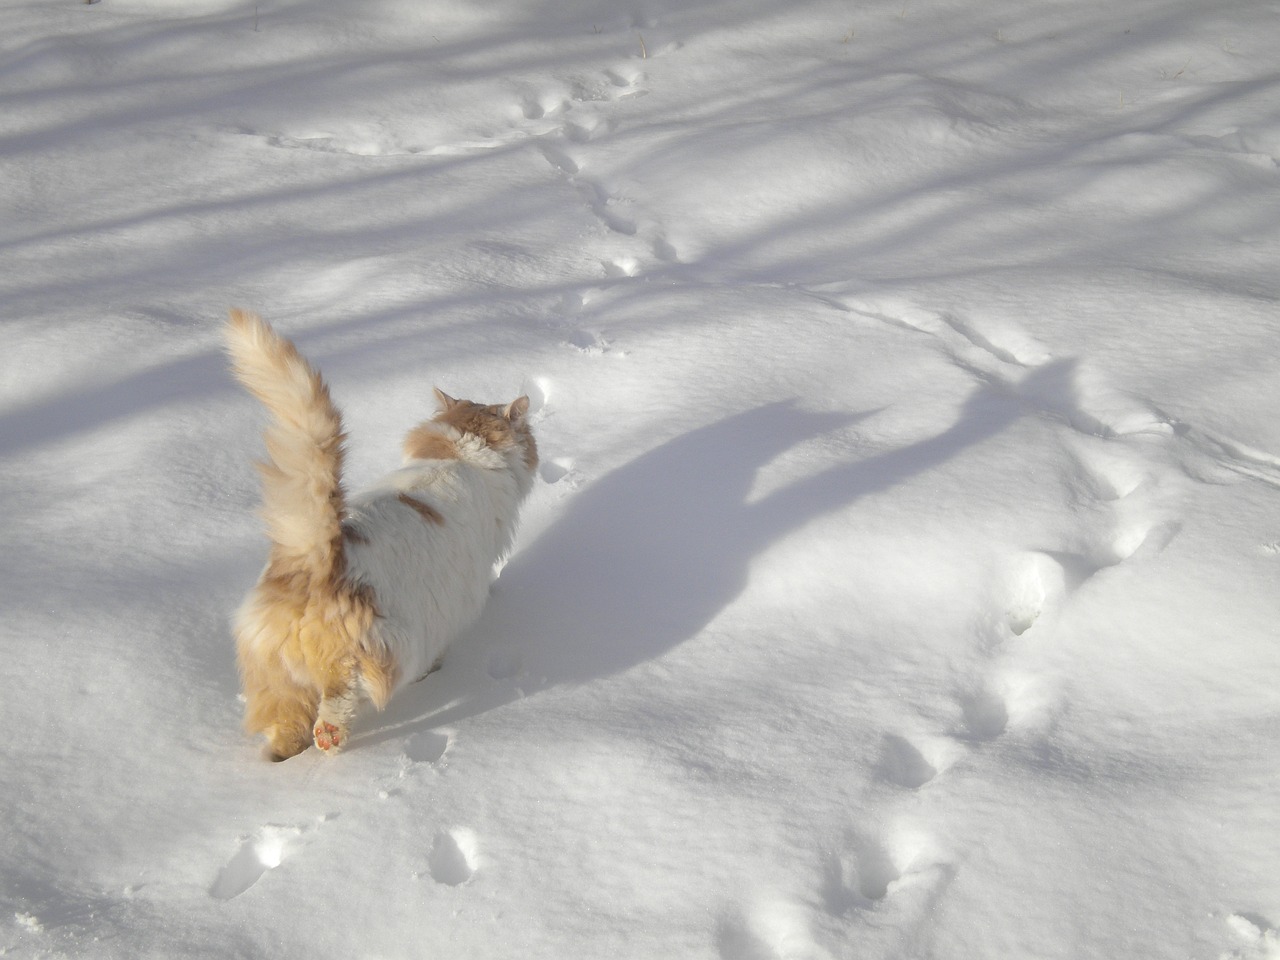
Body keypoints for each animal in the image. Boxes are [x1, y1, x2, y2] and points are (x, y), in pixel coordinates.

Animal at [225, 312, 535, 762]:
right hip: (381, 648)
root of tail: (316, 558)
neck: (460, 455)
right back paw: (330, 737)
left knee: (287, 726)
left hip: (277, 679)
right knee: (338, 700)